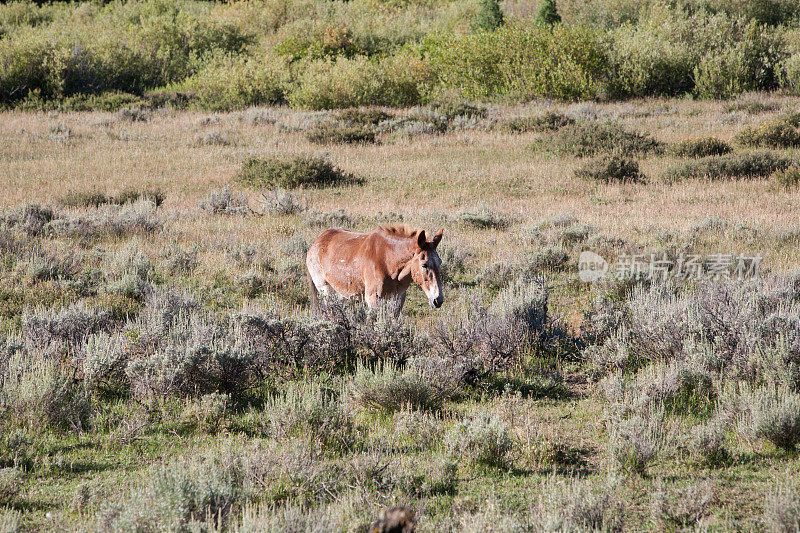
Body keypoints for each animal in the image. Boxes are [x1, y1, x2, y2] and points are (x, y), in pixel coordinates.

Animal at [306, 223, 444, 314]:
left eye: (440, 262)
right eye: (424, 265)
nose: (438, 300)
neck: (388, 260)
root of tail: (318, 241)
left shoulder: (398, 298)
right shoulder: (373, 299)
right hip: (326, 291)